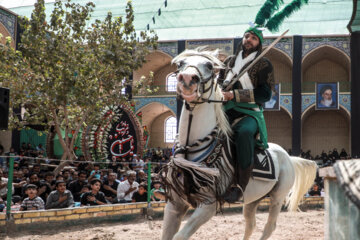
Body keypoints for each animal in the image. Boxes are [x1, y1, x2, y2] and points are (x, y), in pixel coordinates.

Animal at [159, 48, 316, 240]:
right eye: (181, 64)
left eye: (209, 65)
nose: (187, 79)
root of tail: (287, 156)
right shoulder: (174, 204)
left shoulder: (208, 206)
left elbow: (179, 236)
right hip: (253, 199)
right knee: (251, 224)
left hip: (277, 197)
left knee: (269, 226)